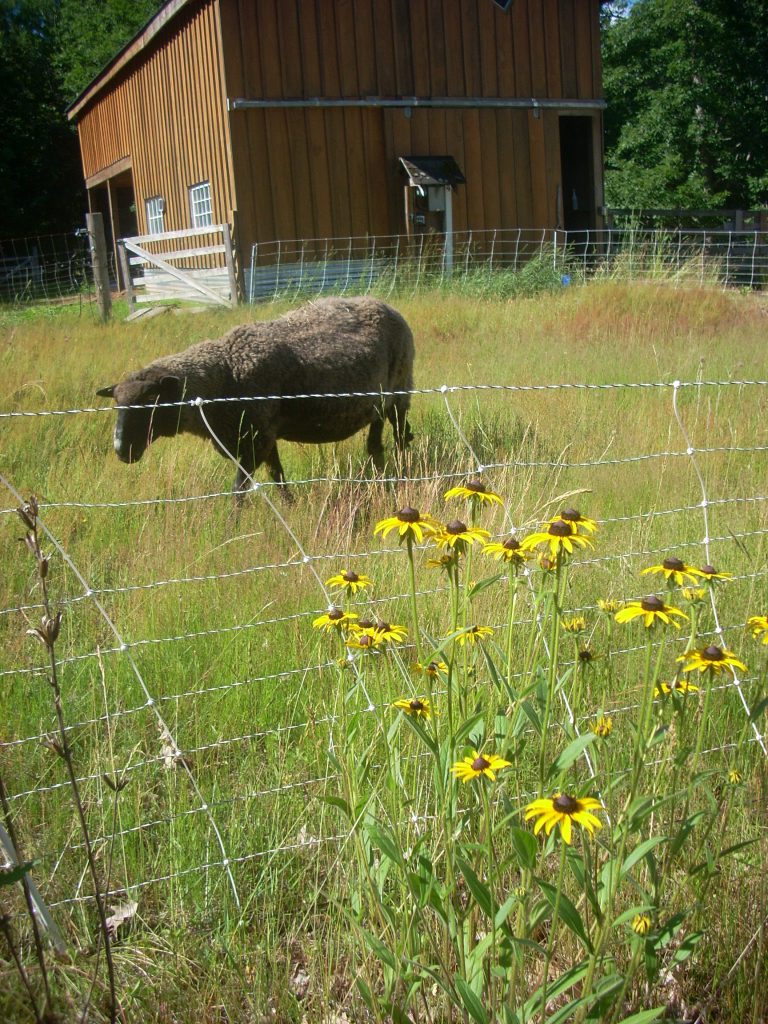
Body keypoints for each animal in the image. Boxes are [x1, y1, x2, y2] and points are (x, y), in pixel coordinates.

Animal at [96, 296, 415, 497]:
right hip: (378, 403)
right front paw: (291, 508)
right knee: (376, 444)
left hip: (400, 391)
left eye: (150, 402)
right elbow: (278, 477)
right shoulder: (262, 436)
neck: (224, 372)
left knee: (397, 437)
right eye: (117, 405)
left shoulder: (256, 440)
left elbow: (239, 490)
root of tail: (384, 304)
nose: (121, 450)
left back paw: (402, 476)